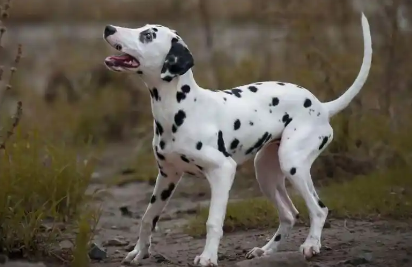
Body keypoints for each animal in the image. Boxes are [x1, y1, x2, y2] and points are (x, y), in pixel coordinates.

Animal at [103, 12, 374, 267]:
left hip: (292, 165)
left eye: (148, 35)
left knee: (319, 209)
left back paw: (311, 245)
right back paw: (265, 251)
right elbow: (148, 217)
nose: (108, 28)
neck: (181, 108)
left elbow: (213, 222)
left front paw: (208, 257)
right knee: (289, 214)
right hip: (265, 173)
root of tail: (322, 106)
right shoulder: (167, 176)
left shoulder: (223, 171)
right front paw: (139, 252)